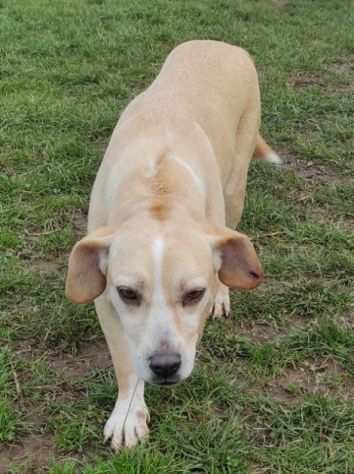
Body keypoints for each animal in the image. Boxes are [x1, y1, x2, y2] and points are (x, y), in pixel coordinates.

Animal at [65, 41, 280, 452]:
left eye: (195, 294)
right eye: (128, 293)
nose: (165, 366)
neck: (157, 190)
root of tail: (221, 43)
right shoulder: (106, 300)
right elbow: (126, 362)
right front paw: (128, 415)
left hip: (235, 188)